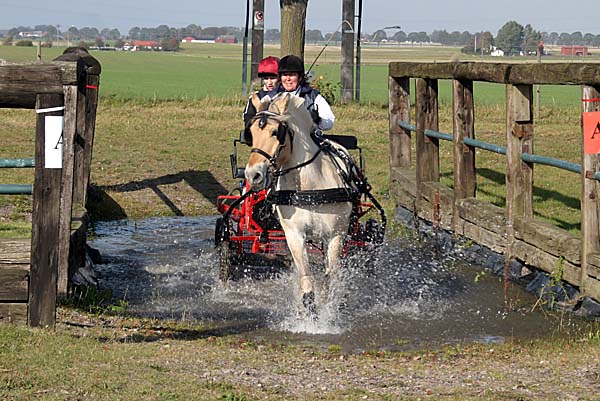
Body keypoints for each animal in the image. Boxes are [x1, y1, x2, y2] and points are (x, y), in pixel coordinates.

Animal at [244, 92, 358, 313]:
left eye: (275, 132)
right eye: (251, 133)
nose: (253, 175)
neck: (308, 188)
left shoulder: (336, 234)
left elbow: (329, 277)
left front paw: (328, 309)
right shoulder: (294, 234)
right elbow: (306, 278)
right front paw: (309, 312)